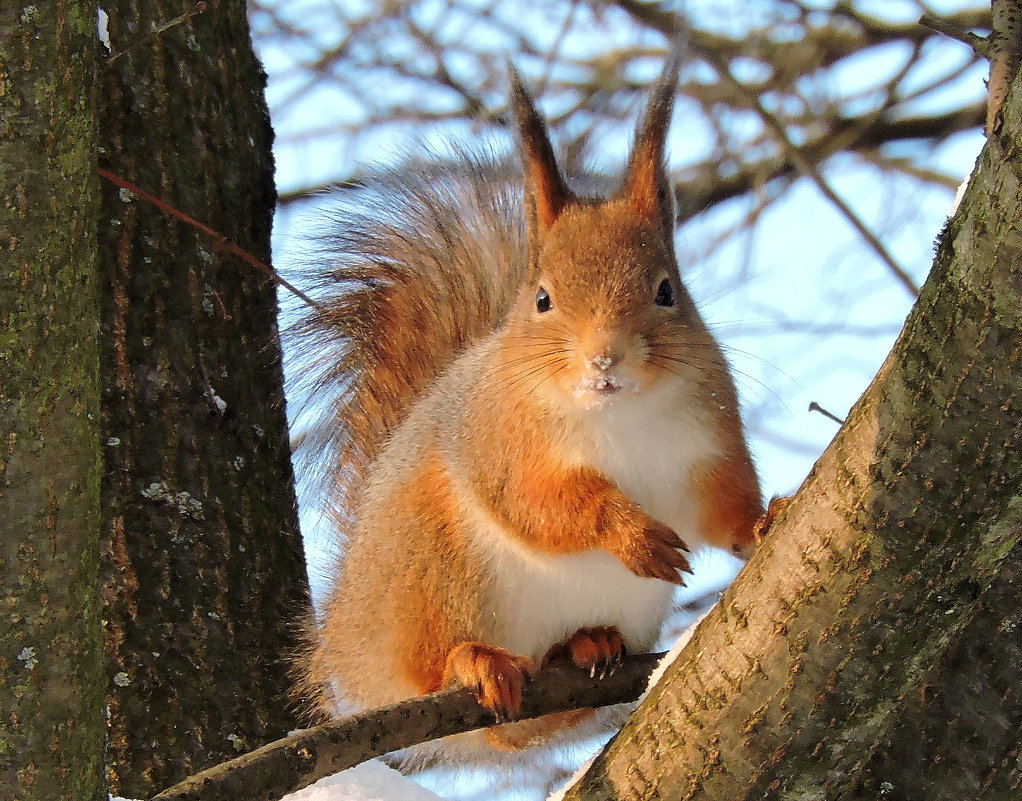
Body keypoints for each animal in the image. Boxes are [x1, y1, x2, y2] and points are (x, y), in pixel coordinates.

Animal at [292, 56, 764, 751]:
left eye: (667, 291)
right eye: (542, 298)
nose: (605, 359)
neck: (617, 416)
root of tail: (352, 644)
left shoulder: (707, 443)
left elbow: (724, 508)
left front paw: (763, 522)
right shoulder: (499, 438)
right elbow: (536, 502)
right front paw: (631, 534)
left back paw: (588, 643)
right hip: (434, 565)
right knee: (434, 670)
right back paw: (474, 661)